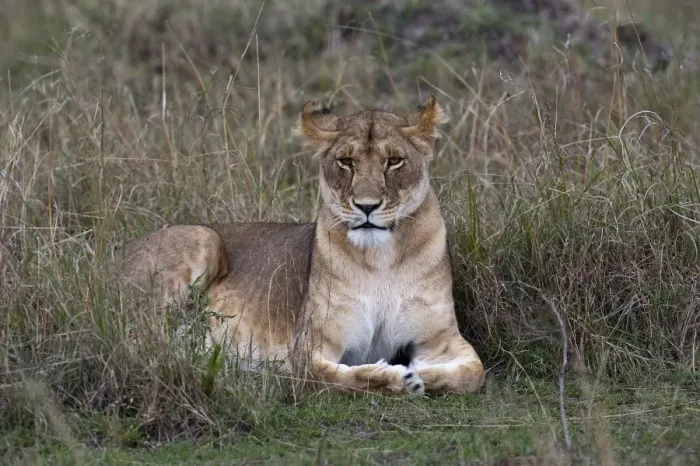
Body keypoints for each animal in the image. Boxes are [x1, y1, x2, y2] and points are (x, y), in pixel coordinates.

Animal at [117, 96, 485, 395]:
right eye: (345, 162)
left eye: (394, 161)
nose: (366, 207)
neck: (382, 258)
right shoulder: (309, 347)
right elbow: (336, 378)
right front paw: (397, 378)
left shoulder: (440, 340)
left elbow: (472, 374)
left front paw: (419, 372)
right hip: (203, 238)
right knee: (140, 345)